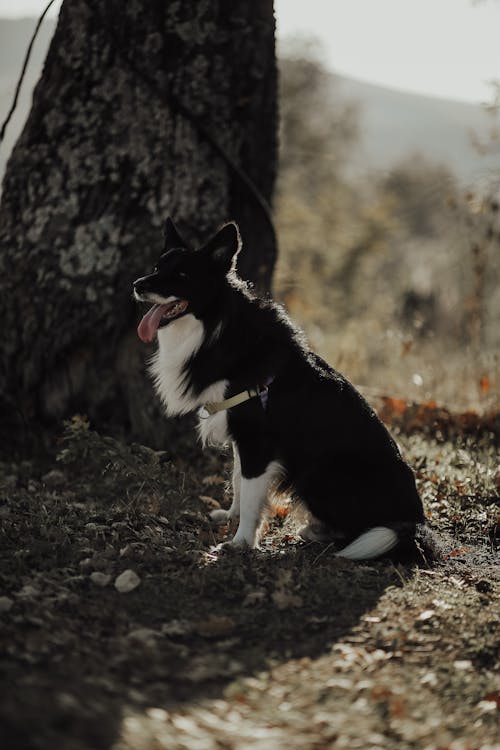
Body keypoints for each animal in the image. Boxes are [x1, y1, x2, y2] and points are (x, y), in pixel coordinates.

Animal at [135, 217, 428, 560]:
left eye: (182, 275)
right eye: (157, 266)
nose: (137, 285)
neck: (218, 327)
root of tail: (414, 523)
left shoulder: (258, 442)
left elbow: (251, 495)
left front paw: (240, 542)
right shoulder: (242, 437)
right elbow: (238, 481)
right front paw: (231, 516)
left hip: (321, 473)